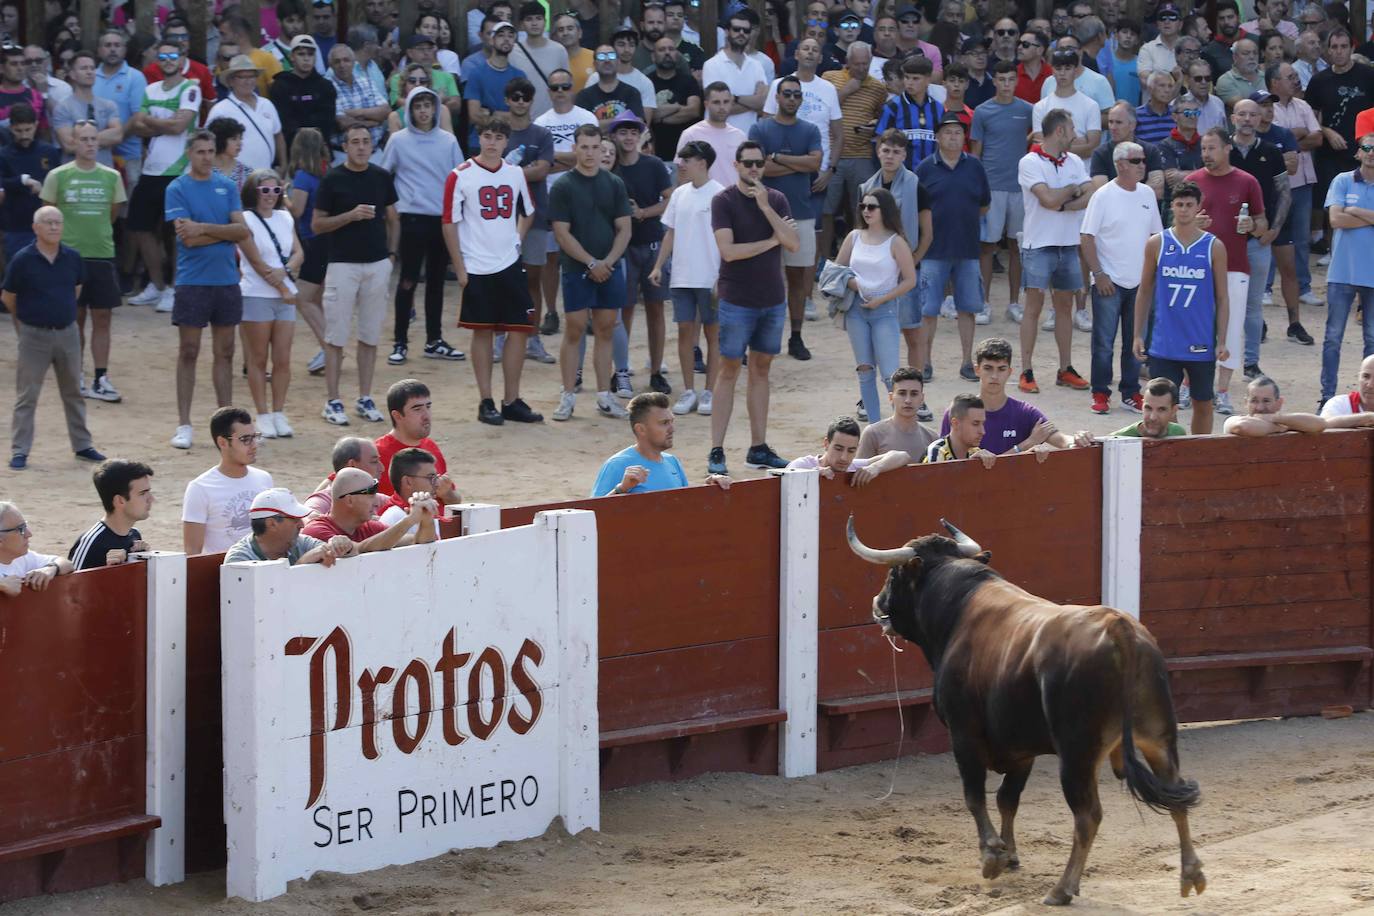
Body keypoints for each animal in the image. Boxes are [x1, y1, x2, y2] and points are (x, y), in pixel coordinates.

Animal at [846, 516, 1203, 900]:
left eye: (893, 575)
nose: (876, 602)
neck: (957, 608)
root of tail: (1118, 628)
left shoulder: (963, 733)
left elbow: (974, 795)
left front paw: (992, 856)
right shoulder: (1021, 749)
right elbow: (1008, 798)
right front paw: (1011, 855)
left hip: (1077, 754)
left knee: (1088, 815)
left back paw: (1062, 889)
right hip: (1159, 738)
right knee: (1176, 795)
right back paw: (1191, 874)